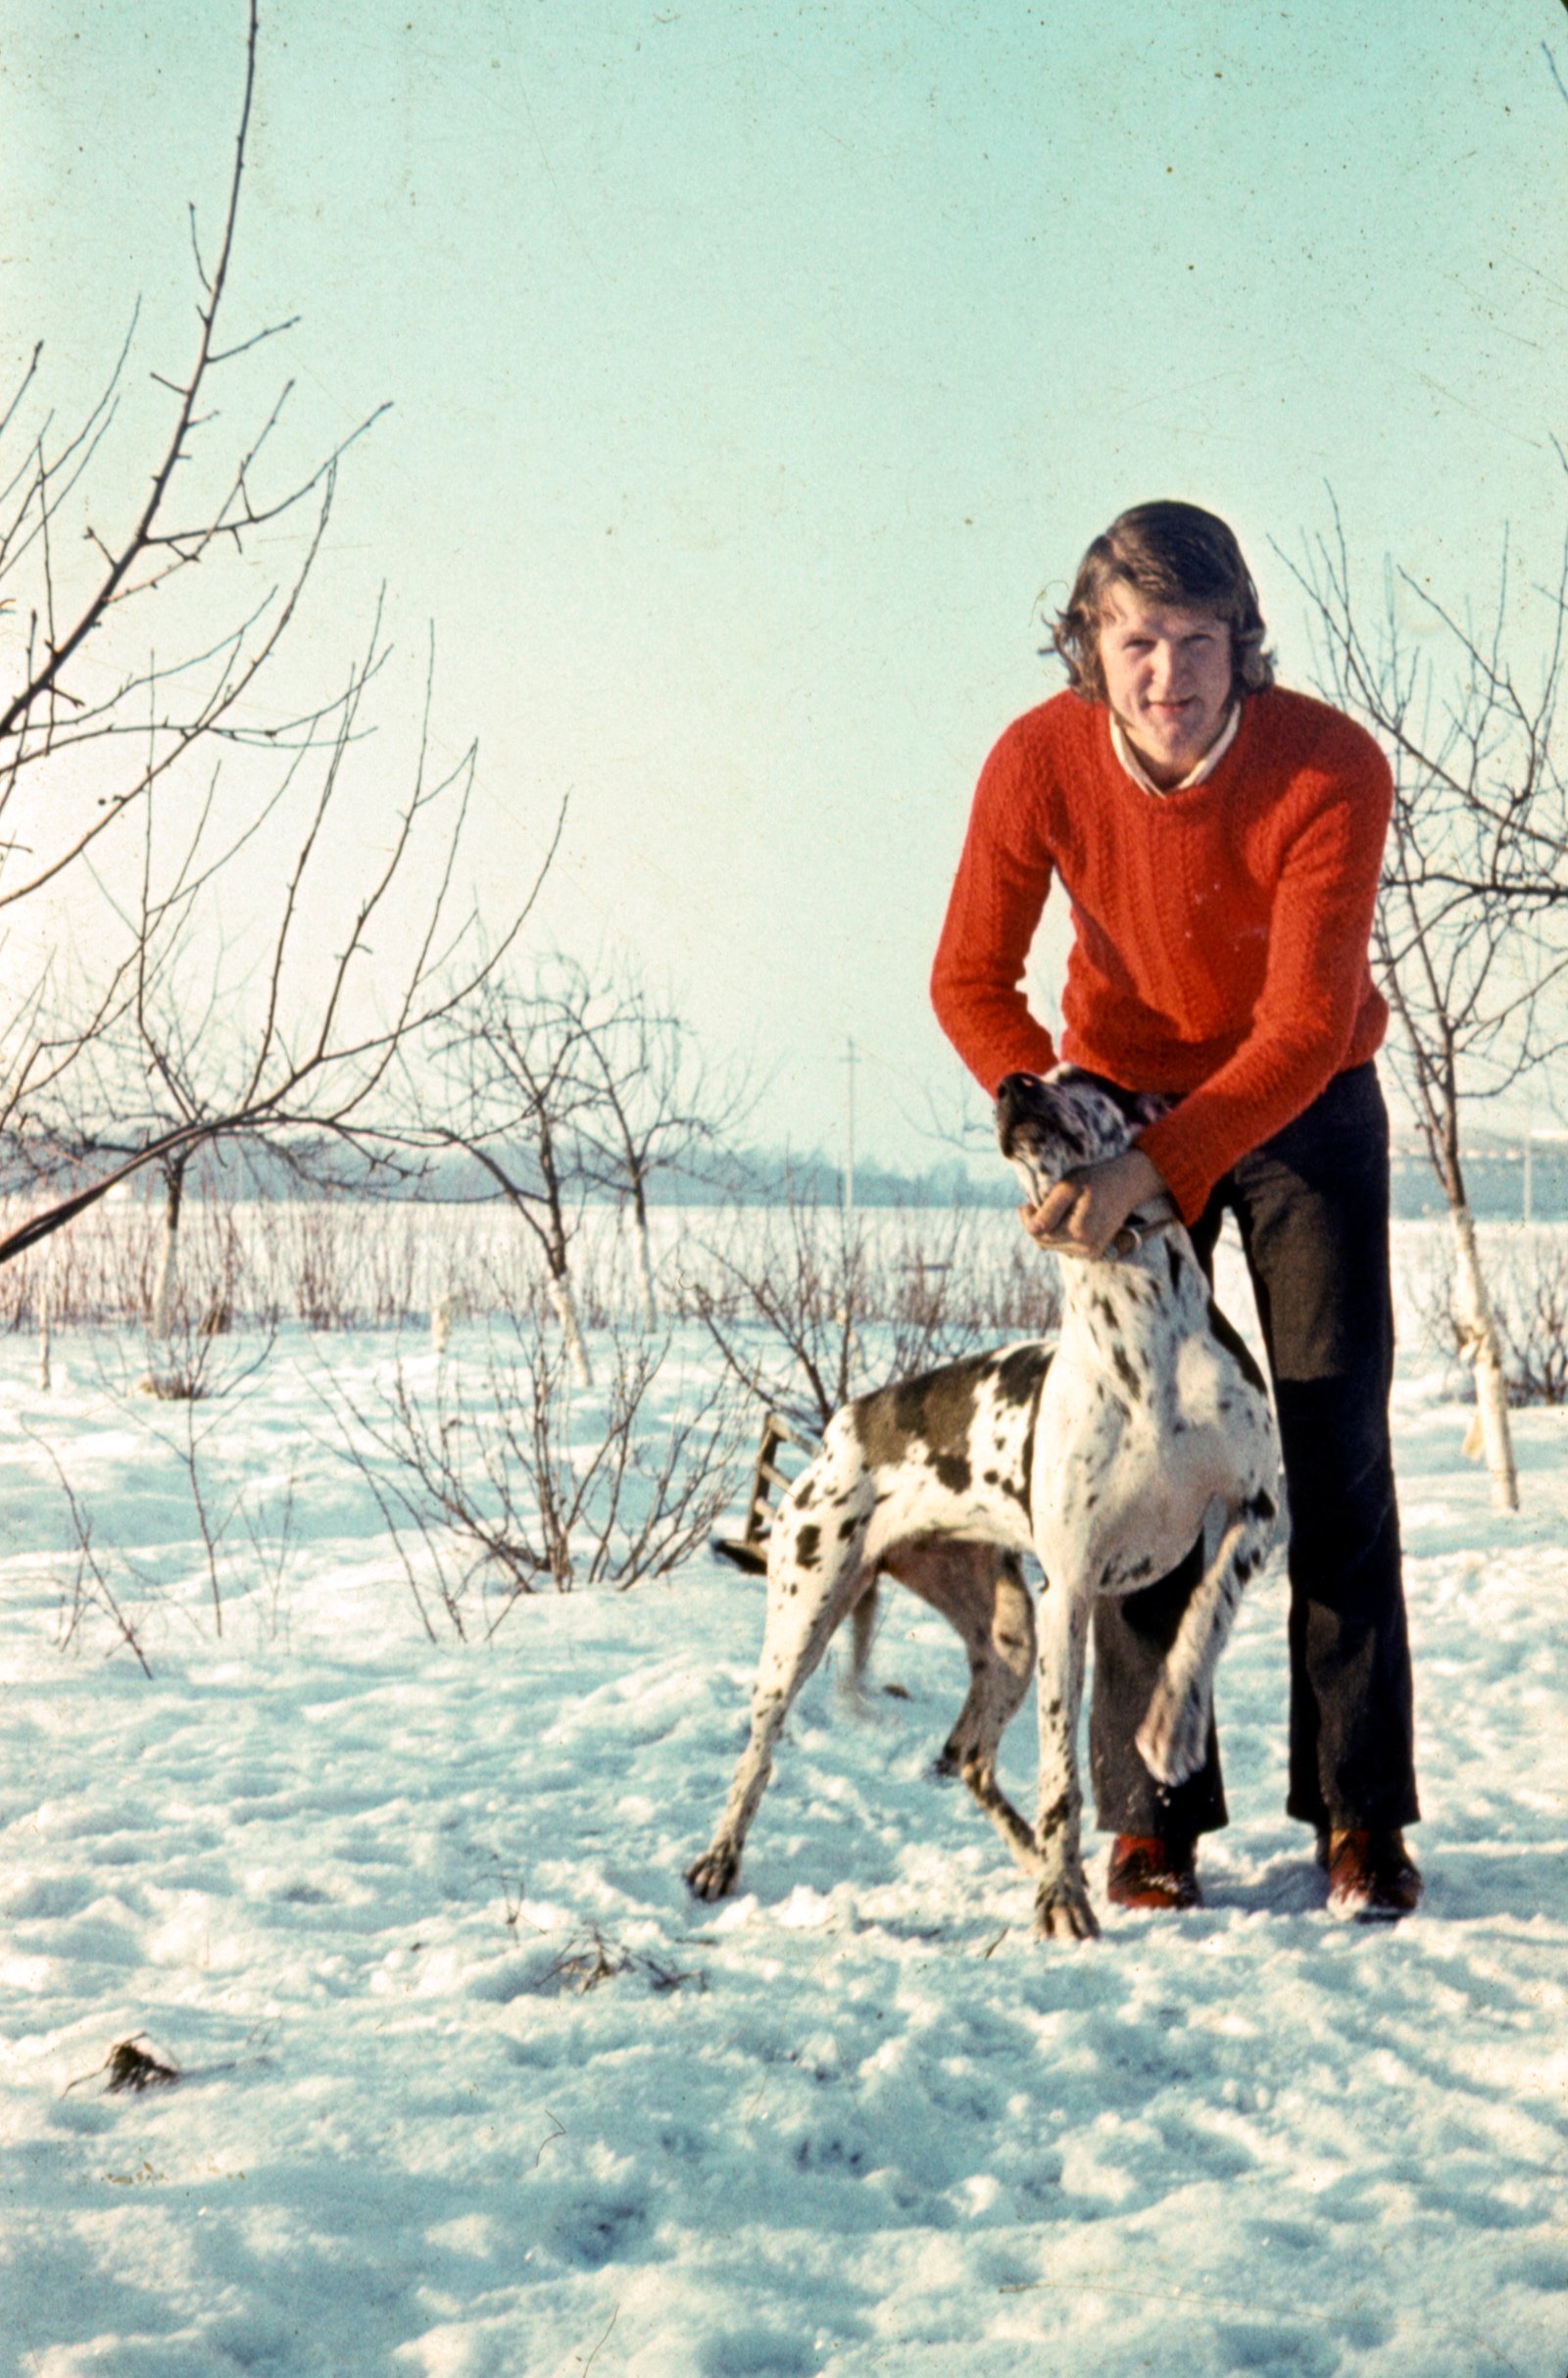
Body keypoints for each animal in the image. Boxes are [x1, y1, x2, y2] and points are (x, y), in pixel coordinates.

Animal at [686, 1067, 1280, 1940]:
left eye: (1087, 1078)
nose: (1014, 1082)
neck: (1140, 1342)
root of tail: (841, 1426)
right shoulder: (1070, 1592)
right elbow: (1063, 1773)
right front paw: (1062, 1900)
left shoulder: (1256, 1514)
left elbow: (1204, 1620)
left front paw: (1172, 1728)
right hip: (806, 1615)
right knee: (759, 1752)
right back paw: (719, 1858)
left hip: (1006, 1636)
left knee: (965, 1755)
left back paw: (1033, 1854)